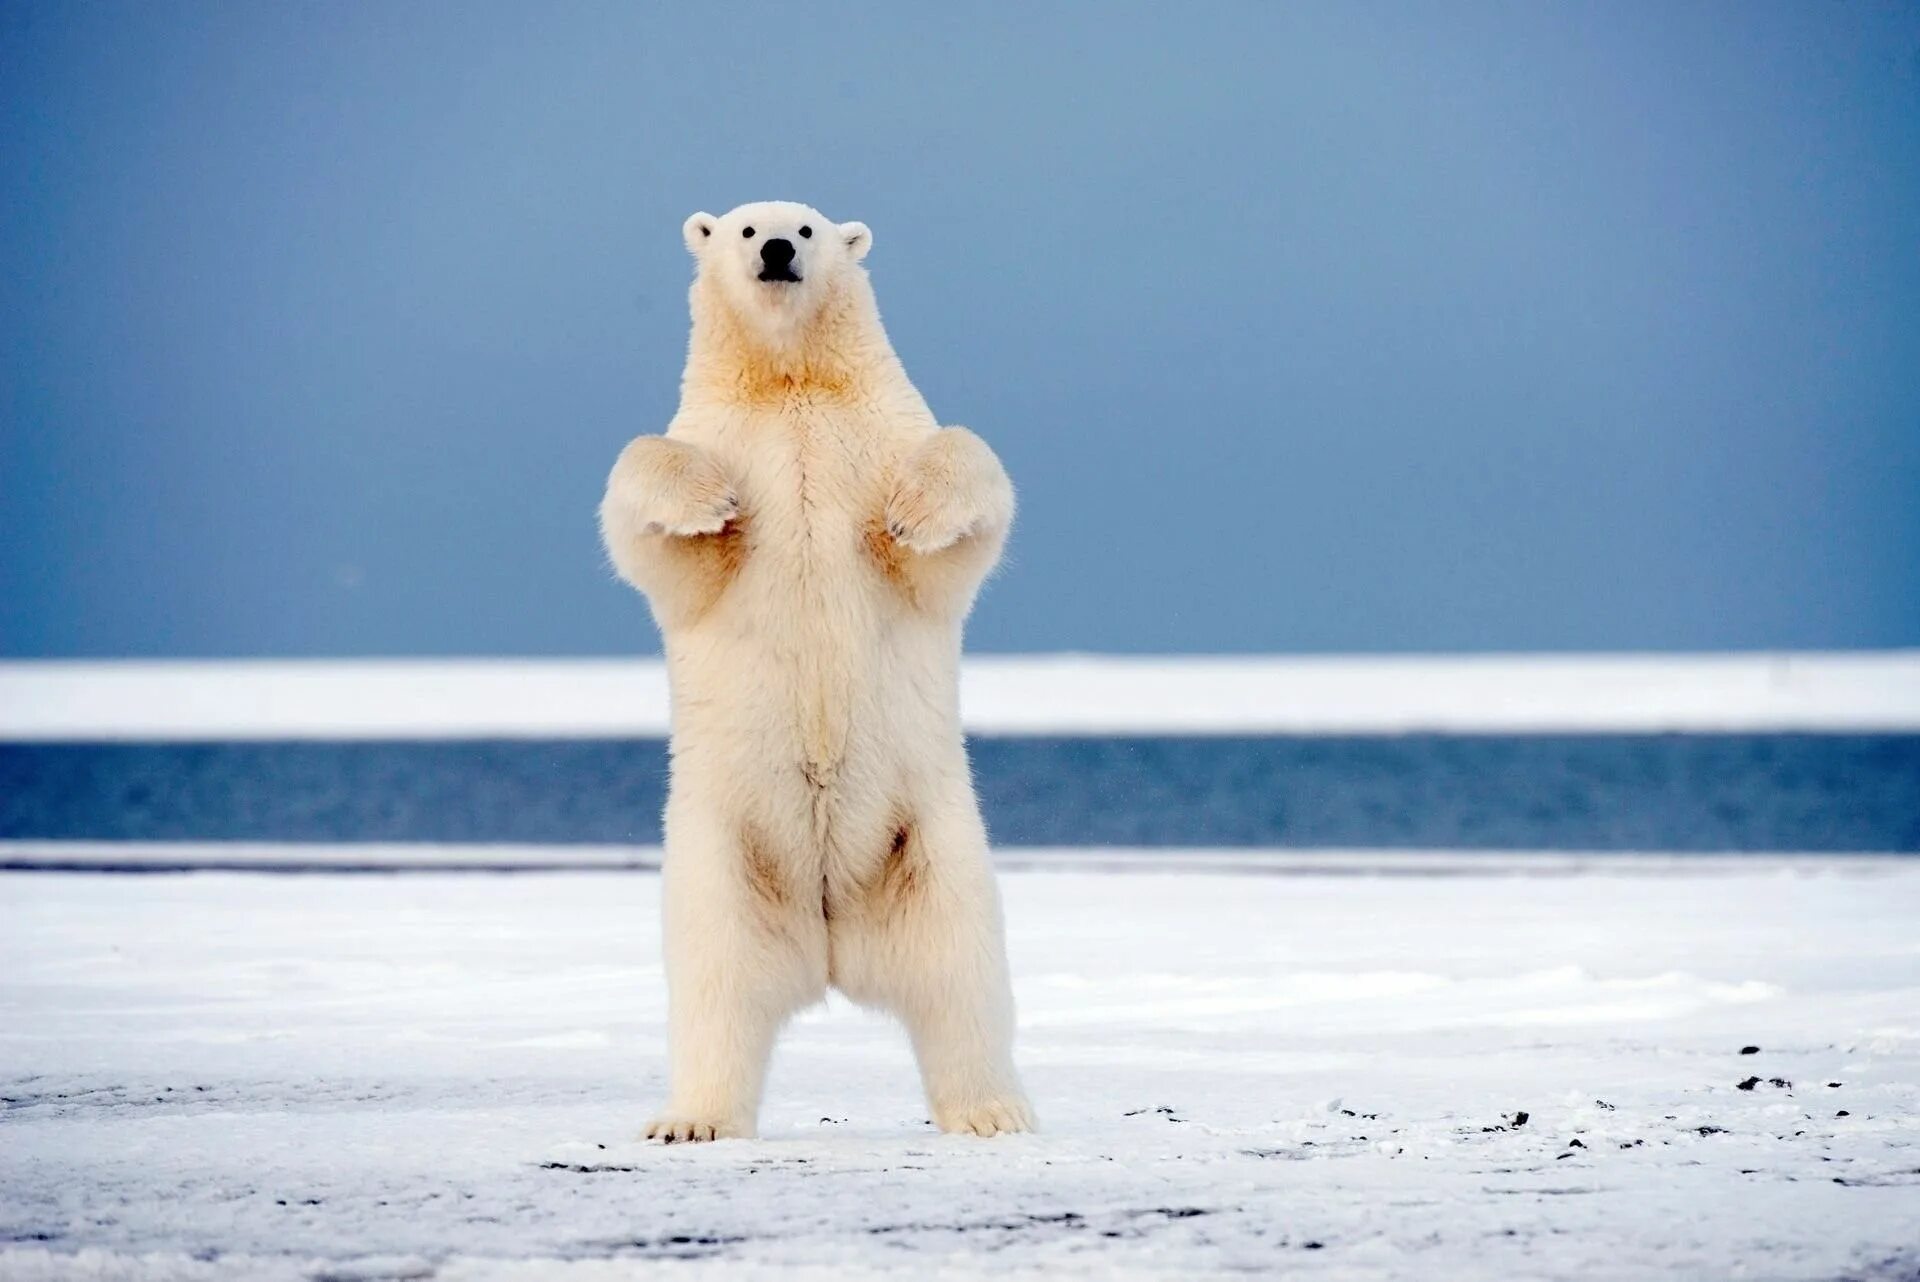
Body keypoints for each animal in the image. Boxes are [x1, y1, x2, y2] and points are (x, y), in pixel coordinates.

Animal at [602, 200, 1036, 1143]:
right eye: (741, 228)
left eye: (806, 227)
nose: (774, 251)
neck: (793, 383)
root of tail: (833, 940)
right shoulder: (723, 436)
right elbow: (654, 519)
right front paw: (709, 500)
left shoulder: (878, 432)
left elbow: (955, 507)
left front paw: (913, 511)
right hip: (720, 853)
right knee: (717, 985)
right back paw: (691, 1120)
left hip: (932, 842)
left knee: (961, 975)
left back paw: (991, 1110)